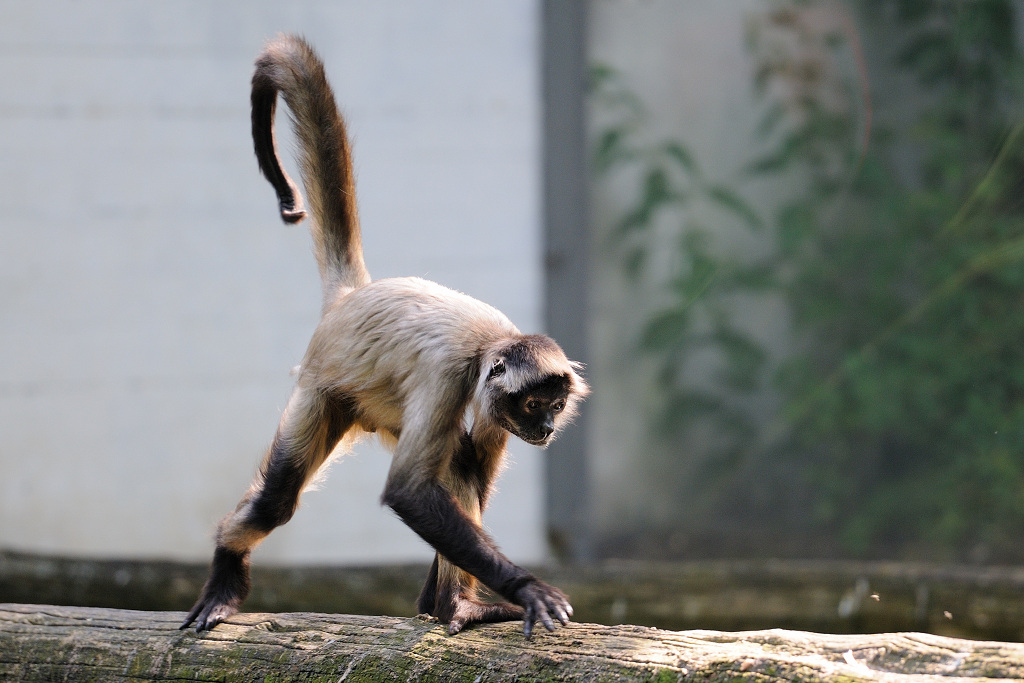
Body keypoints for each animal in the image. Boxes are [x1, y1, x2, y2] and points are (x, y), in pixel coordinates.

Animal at [179, 34, 588, 639]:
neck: (490, 346)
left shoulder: (492, 403)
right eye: (537, 403)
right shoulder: (449, 374)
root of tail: (353, 297)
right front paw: (526, 587)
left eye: (556, 405)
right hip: (324, 388)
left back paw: (452, 603)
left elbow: (468, 476)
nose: (545, 428)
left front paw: (435, 600)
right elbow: (409, 492)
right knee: (277, 501)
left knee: (458, 466)